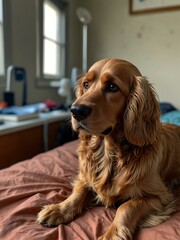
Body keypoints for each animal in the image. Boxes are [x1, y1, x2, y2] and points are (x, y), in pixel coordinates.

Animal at [37, 58, 180, 240]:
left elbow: (127, 206)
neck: (108, 152)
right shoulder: (85, 177)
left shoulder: (160, 196)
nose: (75, 110)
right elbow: (77, 193)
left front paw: (112, 233)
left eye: (112, 87)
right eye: (86, 84)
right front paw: (58, 209)